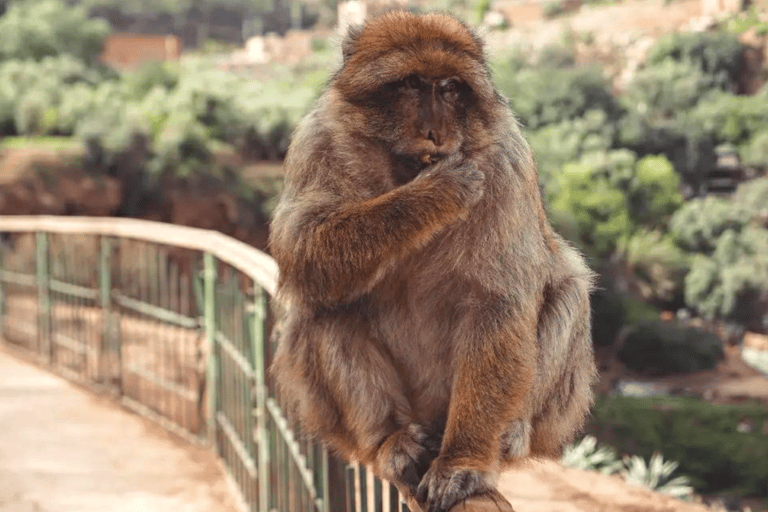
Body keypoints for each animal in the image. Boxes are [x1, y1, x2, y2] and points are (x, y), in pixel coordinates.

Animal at [268, 11, 596, 512]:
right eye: (411, 85)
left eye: (450, 89)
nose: (436, 134)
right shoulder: (319, 139)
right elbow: (300, 246)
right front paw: (434, 193)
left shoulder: (504, 163)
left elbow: (497, 302)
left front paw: (463, 464)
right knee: (322, 305)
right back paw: (392, 438)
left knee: (569, 290)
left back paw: (509, 434)